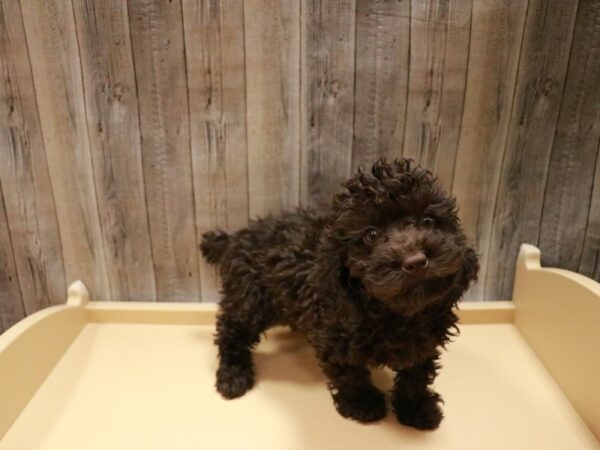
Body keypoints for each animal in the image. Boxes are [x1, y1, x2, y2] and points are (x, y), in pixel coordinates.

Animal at [202, 158, 478, 428]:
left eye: (428, 221)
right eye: (371, 235)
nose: (416, 261)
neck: (395, 313)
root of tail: (236, 237)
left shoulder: (425, 340)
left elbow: (416, 375)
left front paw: (417, 408)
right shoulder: (332, 336)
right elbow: (350, 374)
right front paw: (363, 404)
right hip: (250, 300)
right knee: (231, 331)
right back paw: (233, 376)